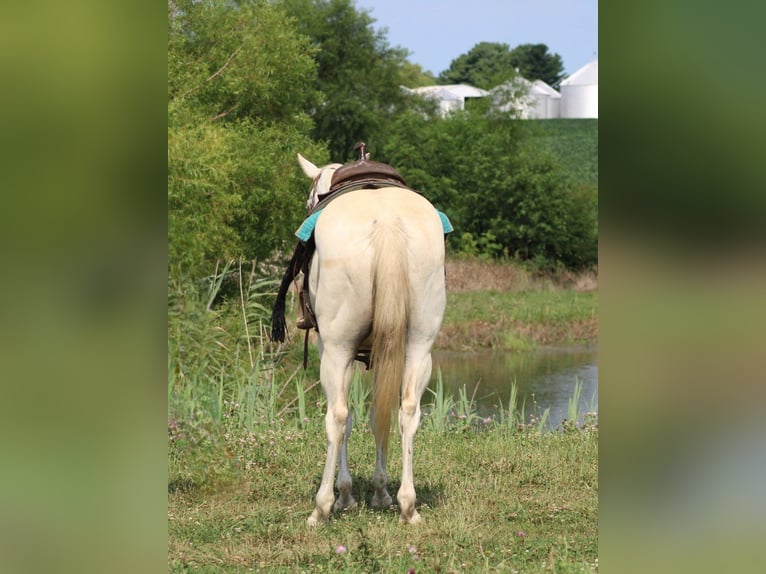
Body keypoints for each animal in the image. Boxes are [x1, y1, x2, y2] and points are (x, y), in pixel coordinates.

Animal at [295, 153, 447, 525]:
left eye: (310, 199)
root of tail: (387, 222)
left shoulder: (337, 352)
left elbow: (348, 419)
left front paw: (345, 495)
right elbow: (380, 415)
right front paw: (381, 492)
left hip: (337, 349)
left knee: (336, 416)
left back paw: (321, 507)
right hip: (419, 347)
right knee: (407, 412)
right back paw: (408, 504)